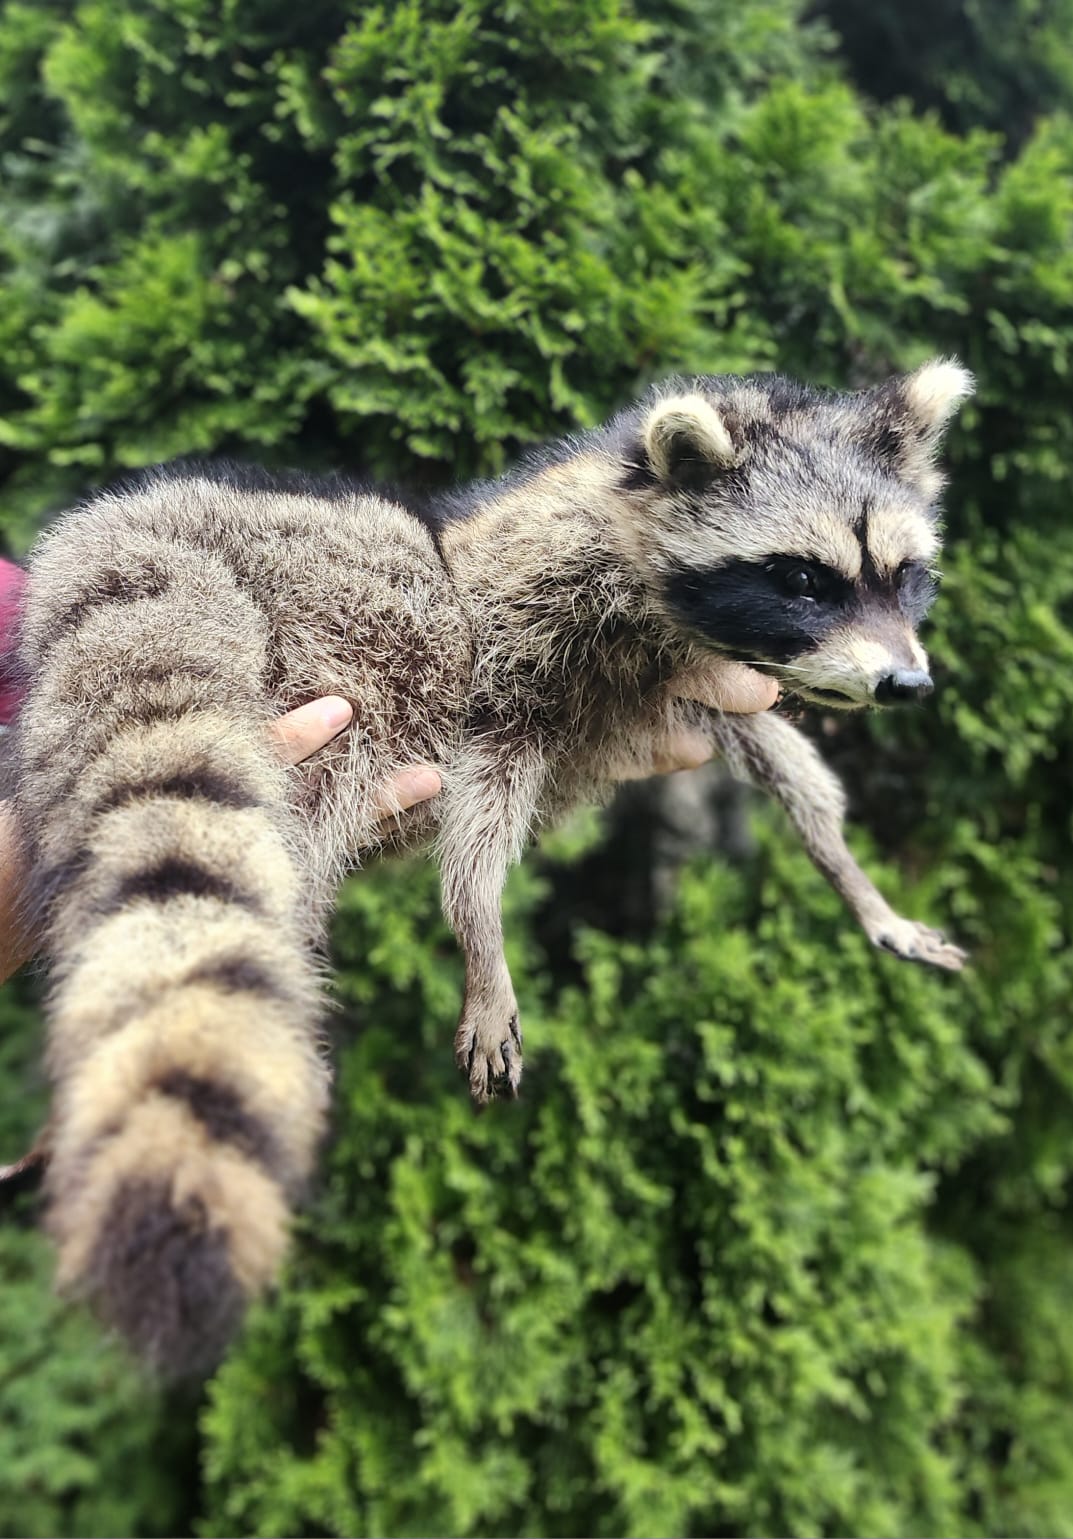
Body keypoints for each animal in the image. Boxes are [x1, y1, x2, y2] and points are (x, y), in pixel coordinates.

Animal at [10, 357, 970, 1371]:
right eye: (800, 579)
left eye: (905, 575)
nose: (906, 683)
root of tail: (124, 536)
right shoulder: (518, 644)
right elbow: (480, 811)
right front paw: (481, 942)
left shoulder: (693, 687)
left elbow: (791, 771)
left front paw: (856, 883)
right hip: (337, 617)